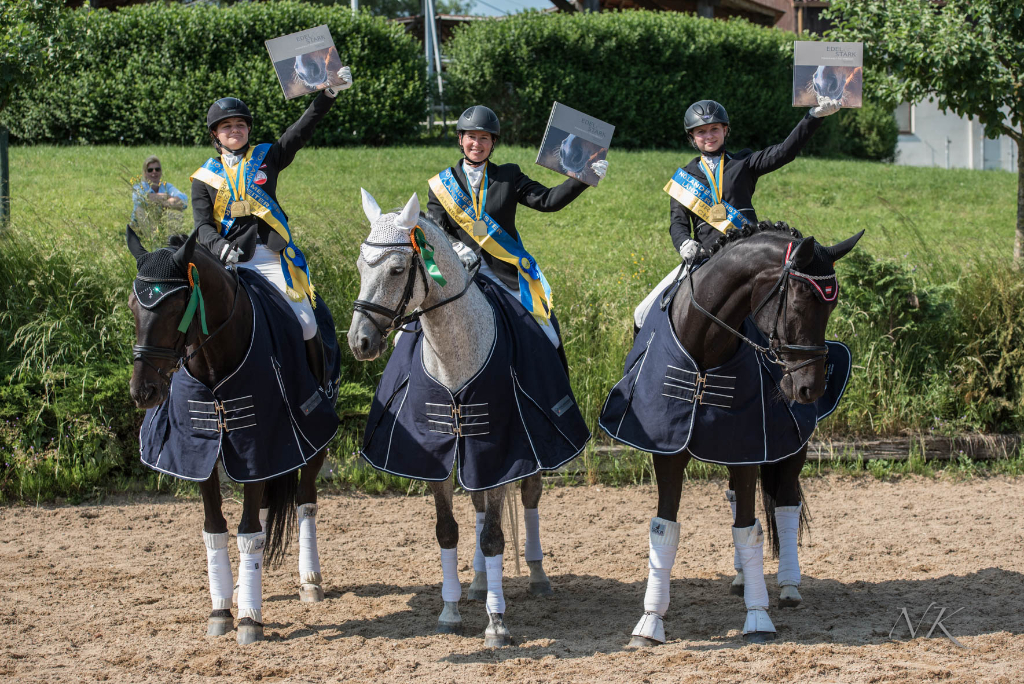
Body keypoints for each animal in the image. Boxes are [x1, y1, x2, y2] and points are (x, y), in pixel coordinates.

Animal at [126, 227, 335, 643]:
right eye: (132, 306)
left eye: (174, 309)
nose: (144, 392)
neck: (213, 361)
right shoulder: (199, 455)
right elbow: (216, 530)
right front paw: (221, 609)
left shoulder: (257, 445)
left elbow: (249, 532)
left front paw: (250, 620)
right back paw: (244, 586)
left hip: (309, 442)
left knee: (305, 501)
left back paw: (309, 579)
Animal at [602, 222, 860, 643]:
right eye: (800, 301)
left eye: (831, 307)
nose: (809, 388)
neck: (705, 349)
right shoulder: (670, 450)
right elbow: (665, 528)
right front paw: (650, 621)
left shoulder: (750, 447)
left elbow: (749, 530)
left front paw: (758, 617)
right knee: (740, 499)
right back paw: (741, 577)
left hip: (791, 447)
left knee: (786, 504)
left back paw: (788, 586)